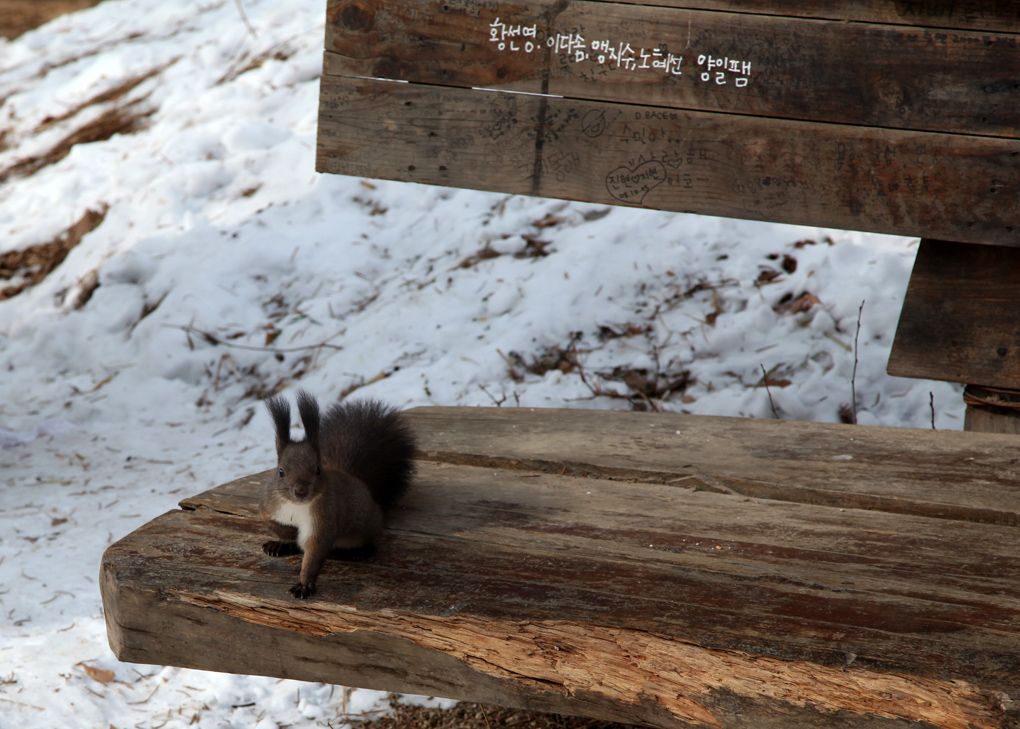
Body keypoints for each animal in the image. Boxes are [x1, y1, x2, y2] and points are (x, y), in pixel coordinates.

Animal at [261, 391, 416, 603]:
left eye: (318, 470)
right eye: (281, 471)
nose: (301, 491)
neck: (297, 506)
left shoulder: (323, 520)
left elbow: (314, 551)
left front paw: (304, 584)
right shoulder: (270, 505)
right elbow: (271, 523)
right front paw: (289, 535)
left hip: (366, 526)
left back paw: (361, 551)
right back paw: (280, 546)